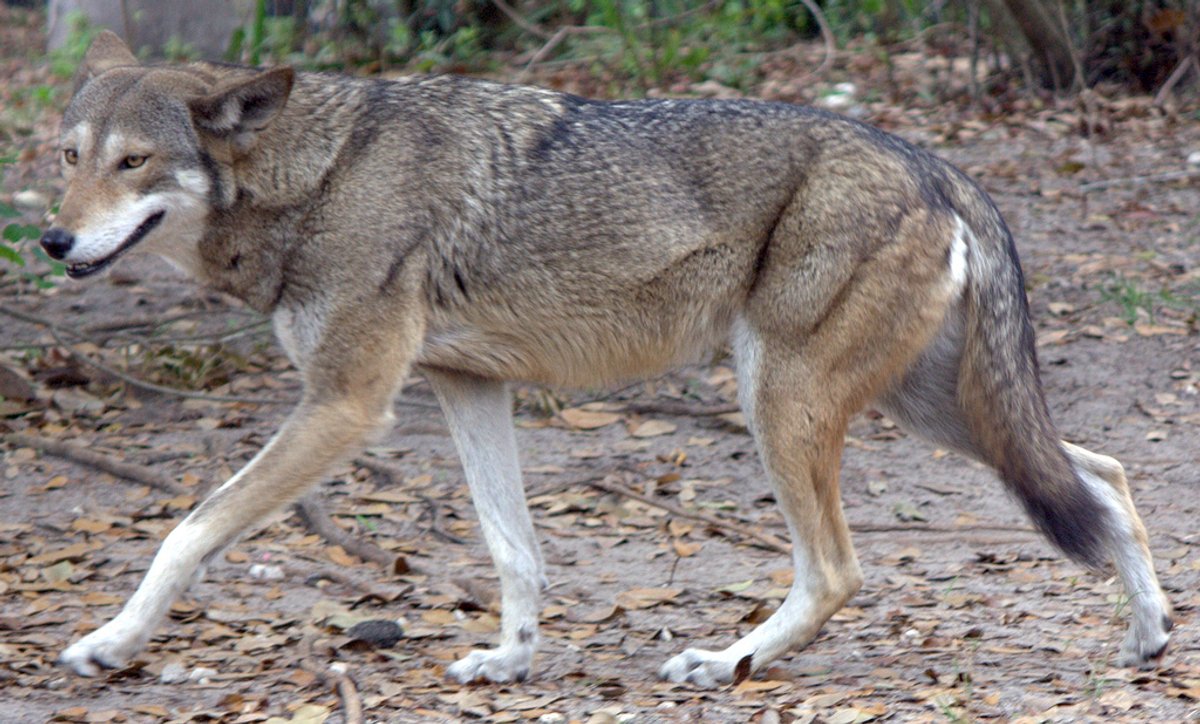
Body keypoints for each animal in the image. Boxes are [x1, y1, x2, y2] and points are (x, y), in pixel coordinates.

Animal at [43, 31, 1170, 686]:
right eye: (67, 156)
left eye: (133, 162)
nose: (52, 241)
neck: (318, 177)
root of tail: (932, 160)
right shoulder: (466, 388)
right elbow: (514, 549)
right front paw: (510, 660)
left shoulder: (347, 403)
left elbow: (188, 529)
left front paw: (112, 644)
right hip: (927, 410)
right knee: (1104, 474)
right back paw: (1150, 637)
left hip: (786, 403)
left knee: (840, 569)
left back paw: (727, 661)